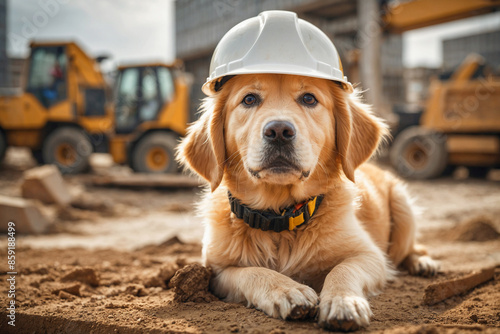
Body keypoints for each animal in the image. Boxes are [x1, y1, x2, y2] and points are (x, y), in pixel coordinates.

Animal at [177, 73, 438, 332]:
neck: (280, 217)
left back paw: (423, 263)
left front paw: (343, 301)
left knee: (411, 248)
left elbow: (343, 269)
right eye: (249, 99)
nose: (279, 131)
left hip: (403, 207)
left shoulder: (370, 255)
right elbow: (251, 272)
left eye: (309, 98)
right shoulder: (216, 270)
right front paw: (288, 290)